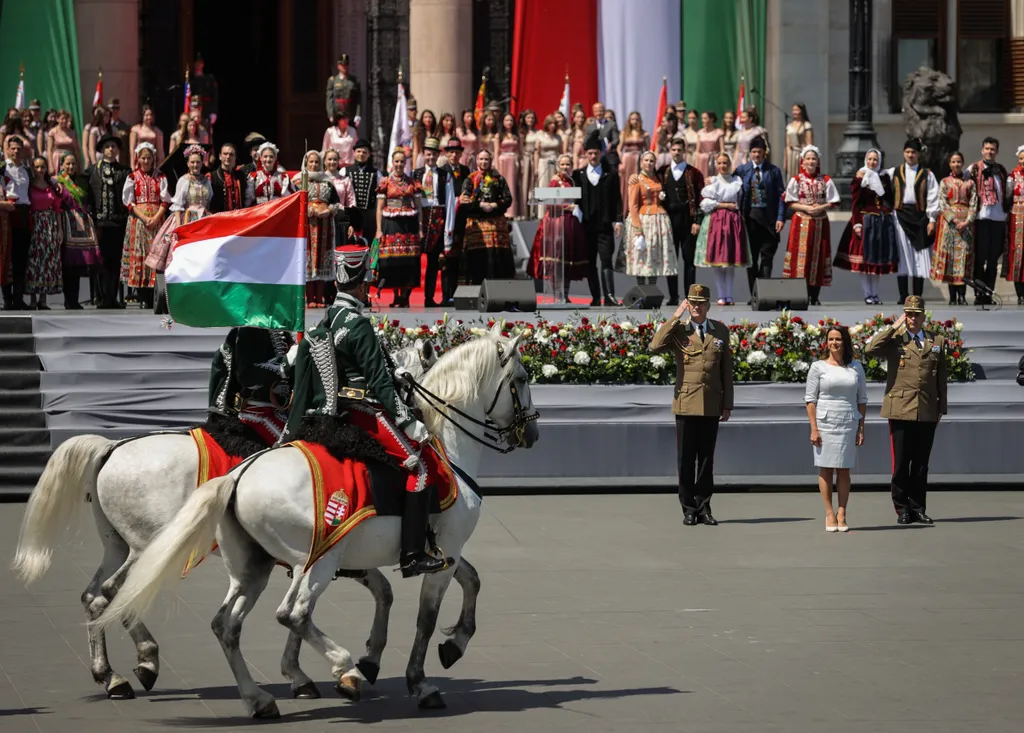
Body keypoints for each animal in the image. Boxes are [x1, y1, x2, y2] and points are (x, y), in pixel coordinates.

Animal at [9, 341, 440, 700]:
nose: (415, 416)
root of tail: (114, 446)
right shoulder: (326, 552)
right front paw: (324, 671)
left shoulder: (336, 553)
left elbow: (377, 592)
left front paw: (316, 671)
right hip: (143, 548)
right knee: (115, 592)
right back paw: (142, 662)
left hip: (117, 545)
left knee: (94, 595)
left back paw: (113, 674)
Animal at [95, 325, 540, 716]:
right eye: (521, 378)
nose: (531, 433)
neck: (446, 446)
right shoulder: (436, 551)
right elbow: (424, 618)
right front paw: (417, 677)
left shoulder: (423, 551)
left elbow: (460, 581)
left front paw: (427, 649)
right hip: (296, 560)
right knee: (283, 613)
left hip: (244, 564)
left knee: (208, 619)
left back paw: (247, 696)